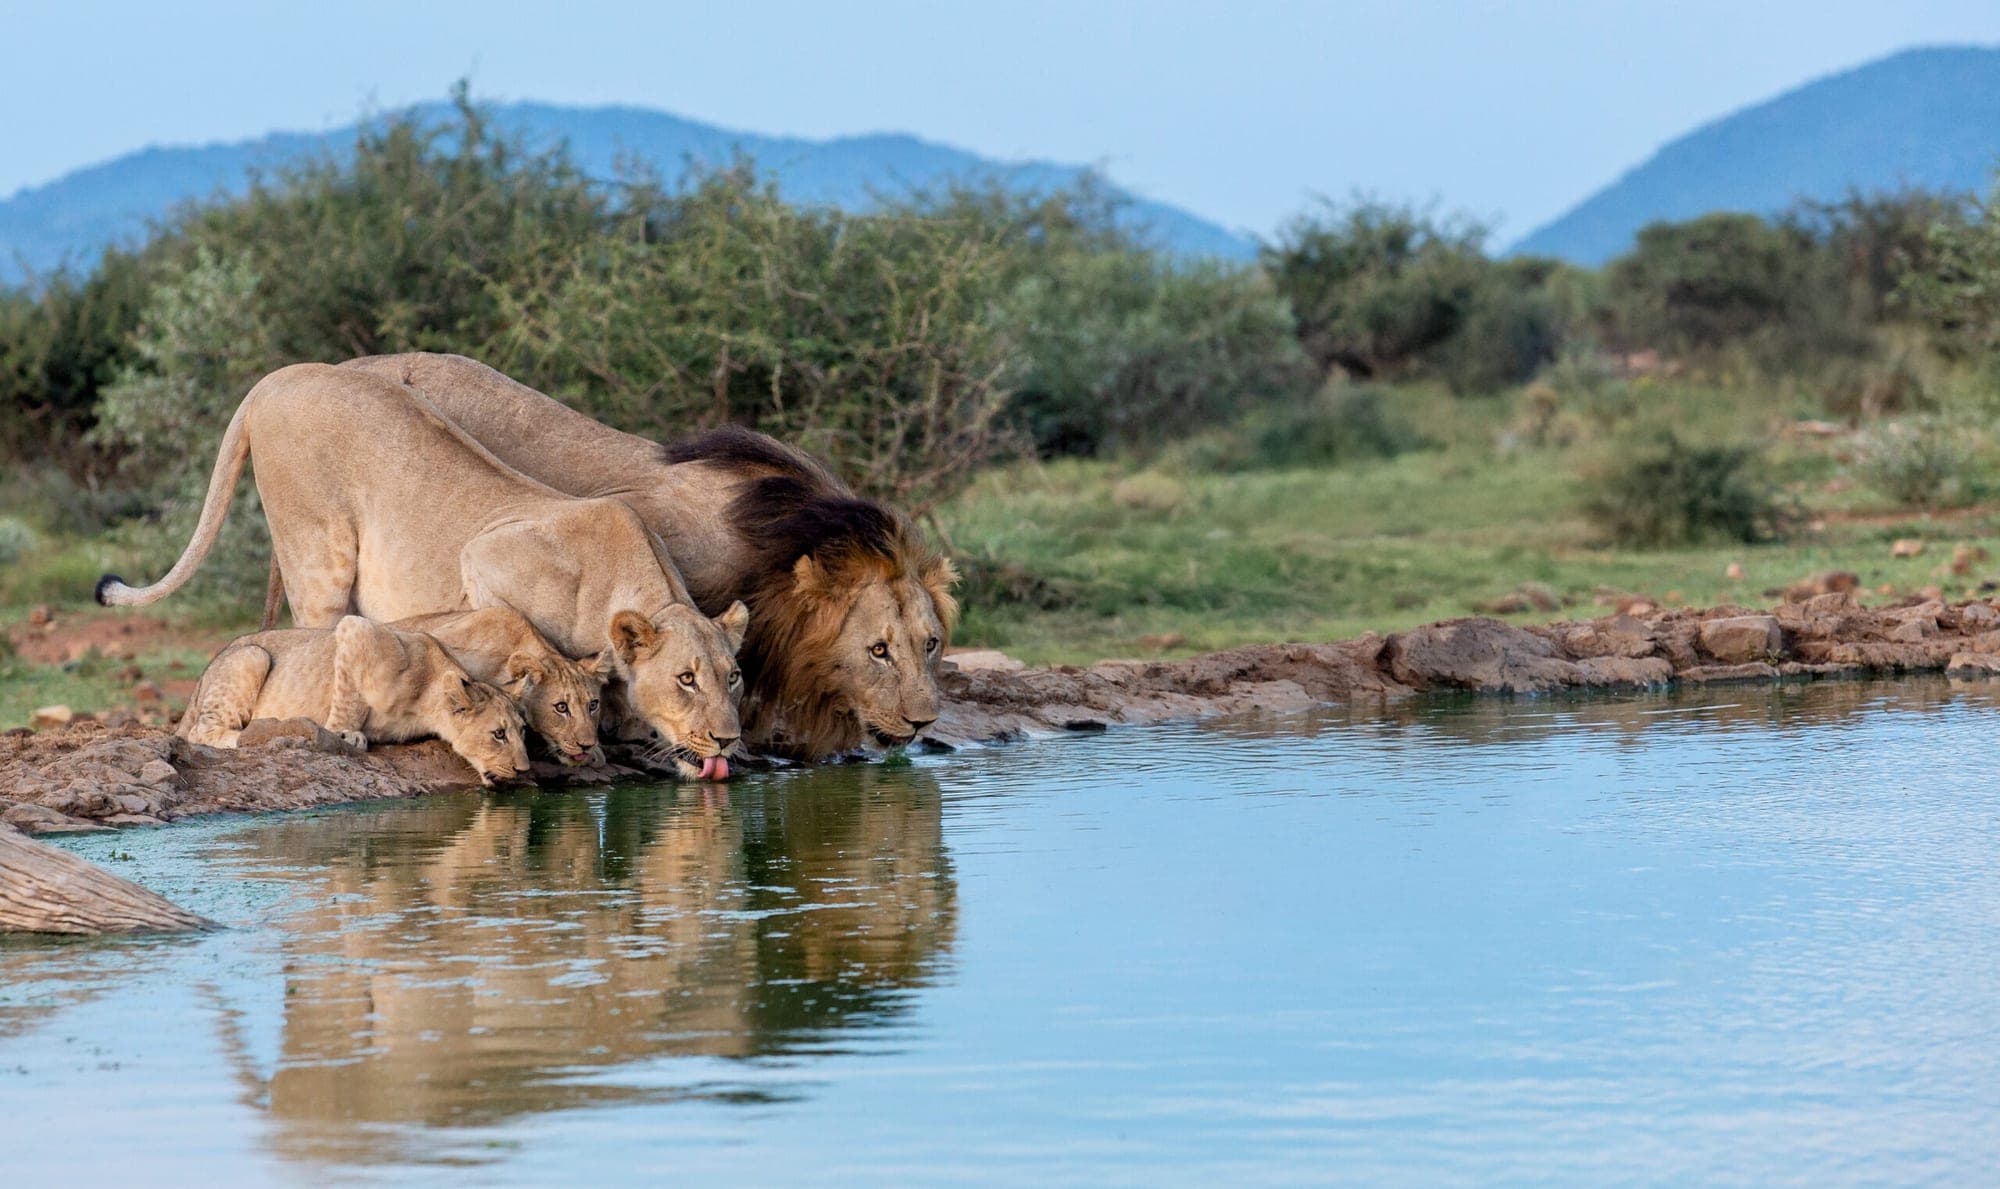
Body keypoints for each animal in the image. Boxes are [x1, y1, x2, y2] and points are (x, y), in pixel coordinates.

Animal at [176, 615, 530, 786]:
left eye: (523, 731)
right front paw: (343, 734)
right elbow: (349, 697)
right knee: (200, 731)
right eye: (499, 734)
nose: (524, 769)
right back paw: (256, 732)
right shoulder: (357, 630)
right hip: (252, 656)